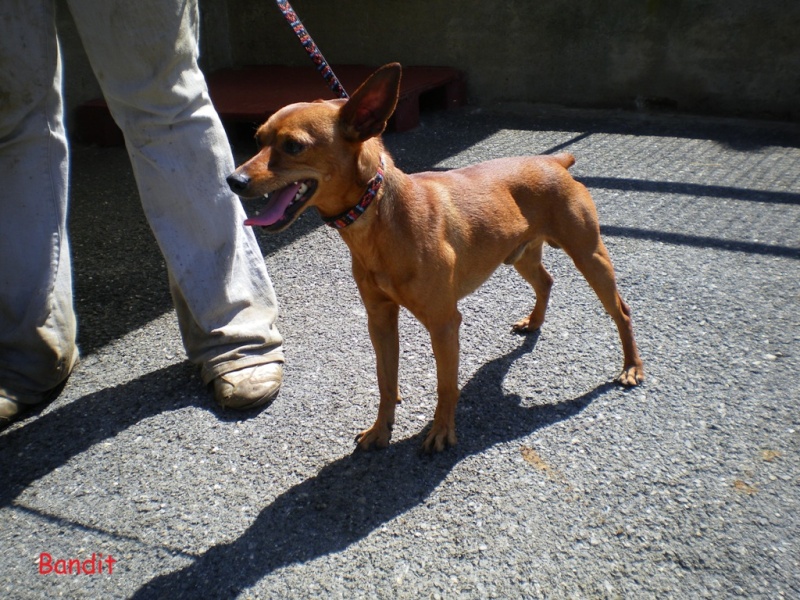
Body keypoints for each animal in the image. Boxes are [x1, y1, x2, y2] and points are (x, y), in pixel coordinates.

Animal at [227, 63, 644, 452]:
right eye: (258, 140)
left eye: (293, 146)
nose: (233, 180)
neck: (379, 219)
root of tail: (555, 161)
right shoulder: (379, 319)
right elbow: (385, 379)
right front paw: (381, 429)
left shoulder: (444, 324)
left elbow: (446, 385)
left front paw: (442, 431)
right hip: (520, 255)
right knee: (546, 280)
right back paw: (535, 322)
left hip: (590, 256)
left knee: (621, 311)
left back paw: (631, 367)